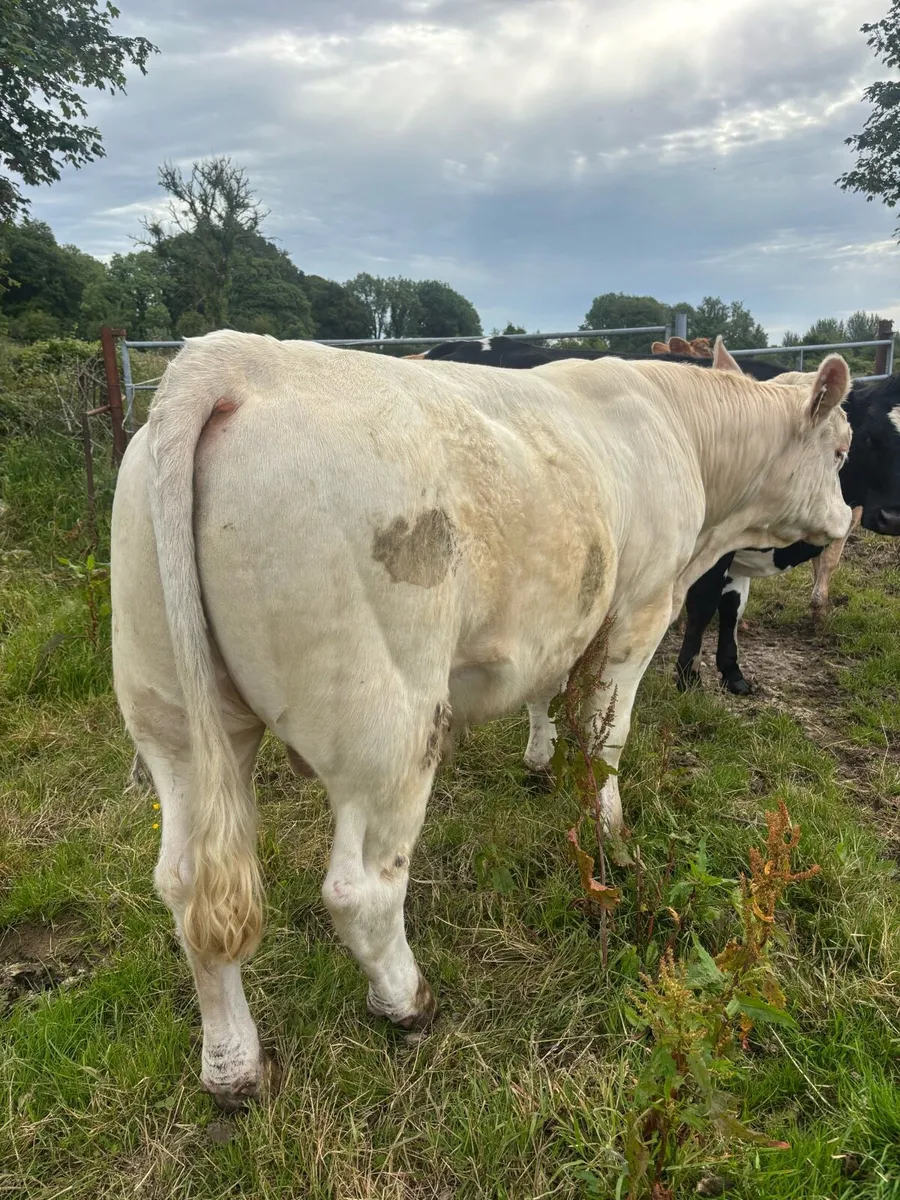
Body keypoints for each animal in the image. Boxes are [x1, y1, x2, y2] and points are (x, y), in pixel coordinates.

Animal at [110, 330, 851, 1106]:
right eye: (840, 451)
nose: (844, 522)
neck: (674, 422)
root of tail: (229, 359)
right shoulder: (638, 610)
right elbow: (608, 733)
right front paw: (612, 833)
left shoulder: (561, 617)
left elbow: (547, 692)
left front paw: (540, 760)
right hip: (388, 727)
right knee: (360, 892)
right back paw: (406, 1001)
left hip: (173, 719)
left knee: (188, 888)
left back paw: (233, 1065)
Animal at [674, 371, 900, 695]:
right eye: (870, 437)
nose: (892, 519)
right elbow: (704, 603)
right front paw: (687, 677)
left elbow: (732, 607)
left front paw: (732, 673)